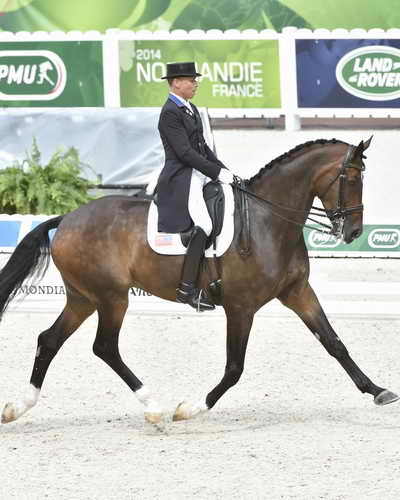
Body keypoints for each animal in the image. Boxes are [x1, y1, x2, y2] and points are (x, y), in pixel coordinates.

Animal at [0, 138, 398, 426]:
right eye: (351, 179)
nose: (354, 232)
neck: (269, 220)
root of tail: (67, 218)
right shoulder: (241, 307)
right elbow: (234, 368)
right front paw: (190, 408)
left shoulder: (297, 292)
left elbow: (334, 343)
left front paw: (378, 391)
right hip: (111, 297)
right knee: (105, 347)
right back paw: (154, 407)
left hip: (83, 298)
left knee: (49, 340)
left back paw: (18, 408)